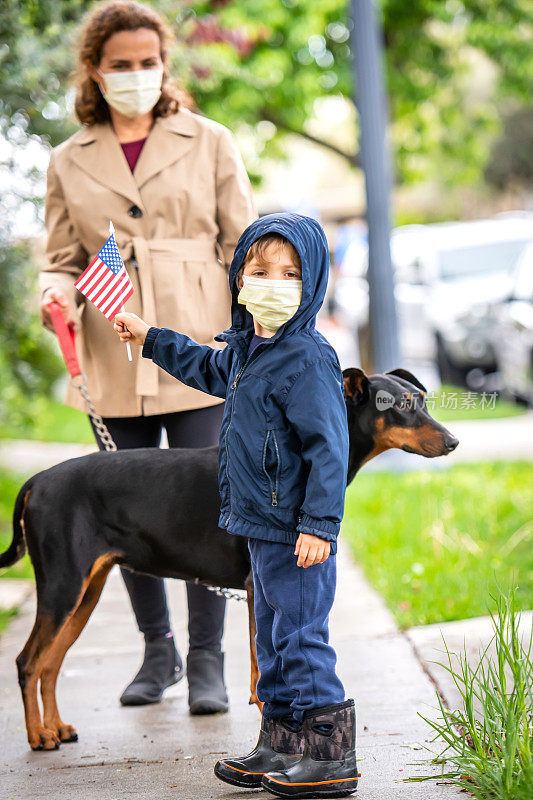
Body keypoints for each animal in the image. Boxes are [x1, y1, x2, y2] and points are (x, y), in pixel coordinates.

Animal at [1, 368, 458, 752]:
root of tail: (36, 482)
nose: (453, 441)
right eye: (400, 406)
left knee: (50, 663)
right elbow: (261, 665)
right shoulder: (261, 584)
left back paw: (56, 728)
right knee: (29, 661)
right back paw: (38, 737)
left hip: (85, 593)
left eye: (422, 399)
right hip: (62, 585)